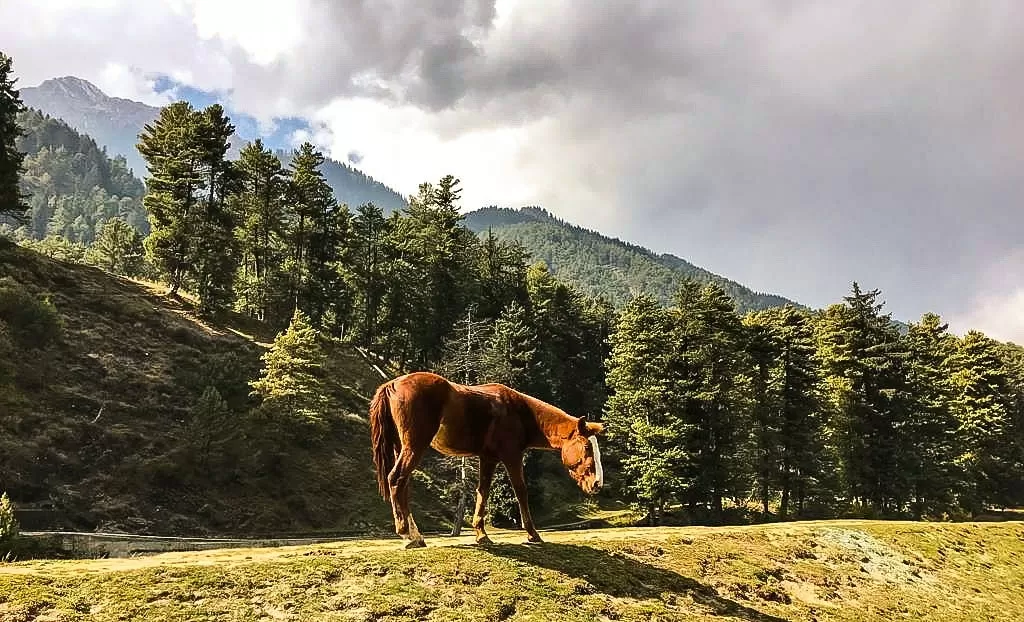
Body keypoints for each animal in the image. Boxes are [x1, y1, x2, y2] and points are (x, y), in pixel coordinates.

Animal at [370, 372, 602, 549]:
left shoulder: (488, 459)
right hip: (414, 448)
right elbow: (521, 491)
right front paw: (533, 534)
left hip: (402, 448)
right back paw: (407, 535)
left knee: (403, 486)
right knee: (396, 479)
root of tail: (392, 385)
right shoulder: (512, 456)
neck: (519, 412)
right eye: (587, 447)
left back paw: (416, 536)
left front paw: (481, 534)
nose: (597, 484)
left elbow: (483, 492)